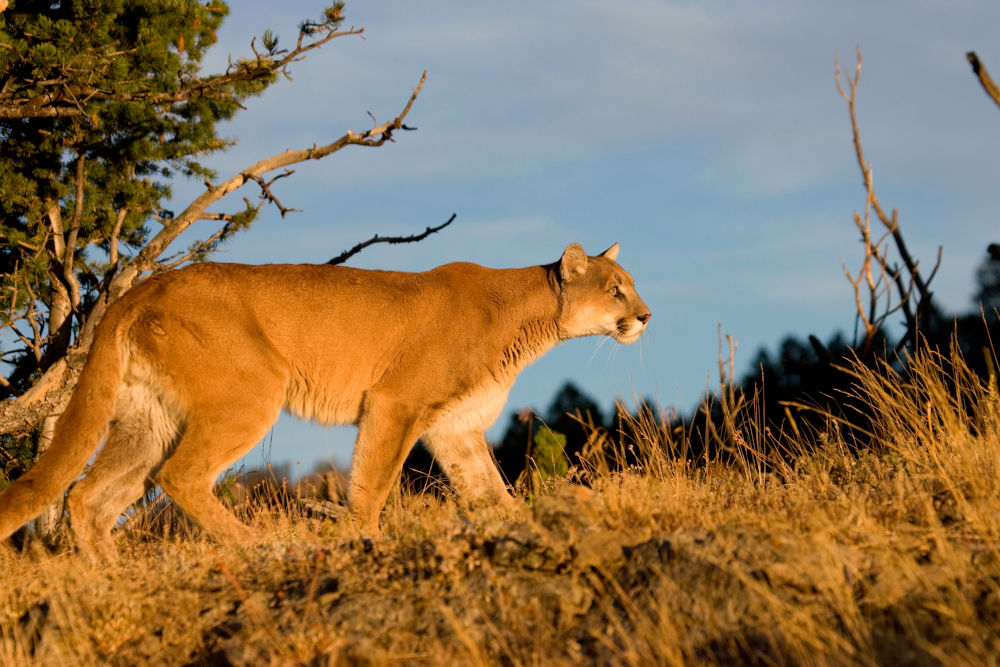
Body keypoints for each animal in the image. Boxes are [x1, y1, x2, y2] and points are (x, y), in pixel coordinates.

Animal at [0, 243, 648, 556]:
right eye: (616, 289)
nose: (645, 315)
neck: (524, 316)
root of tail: (144, 286)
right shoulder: (395, 403)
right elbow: (373, 483)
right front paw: (362, 537)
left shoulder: (454, 428)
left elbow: (492, 492)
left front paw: (526, 528)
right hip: (252, 393)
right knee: (178, 476)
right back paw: (255, 547)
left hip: (148, 420)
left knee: (87, 494)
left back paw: (104, 575)